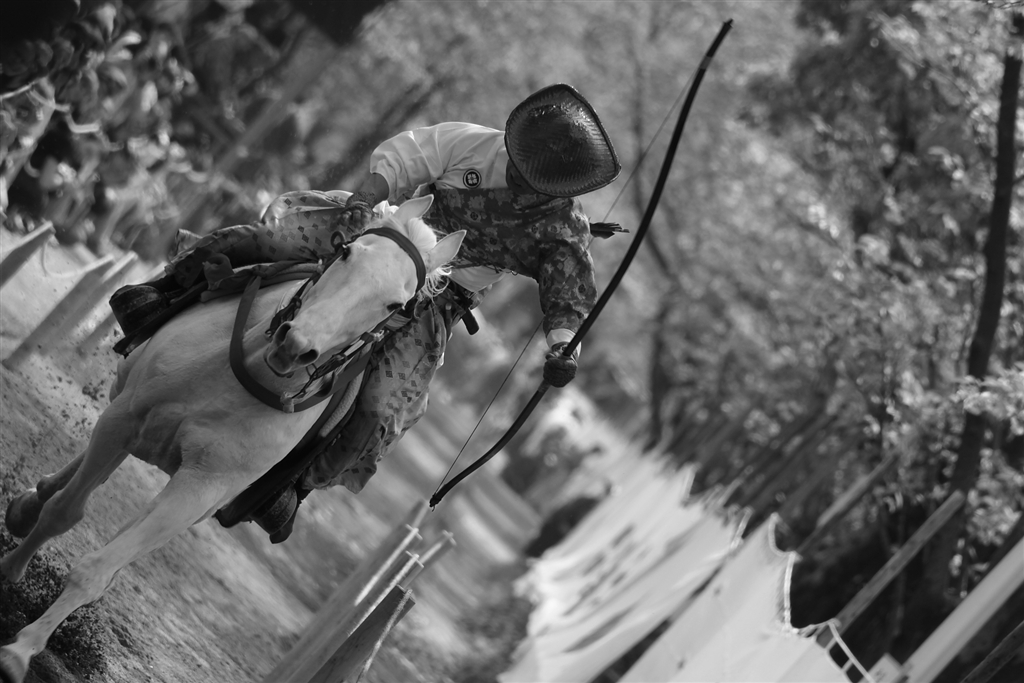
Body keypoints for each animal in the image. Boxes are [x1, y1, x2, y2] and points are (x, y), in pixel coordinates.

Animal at [0, 195, 465, 683]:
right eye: (345, 253)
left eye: (396, 303)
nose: (295, 345)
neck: (245, 372)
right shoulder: (123, 420)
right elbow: (63, 513)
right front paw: (13, 571)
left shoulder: (201, 488)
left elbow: (99, 569)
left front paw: (22, 650)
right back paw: (29, 505)